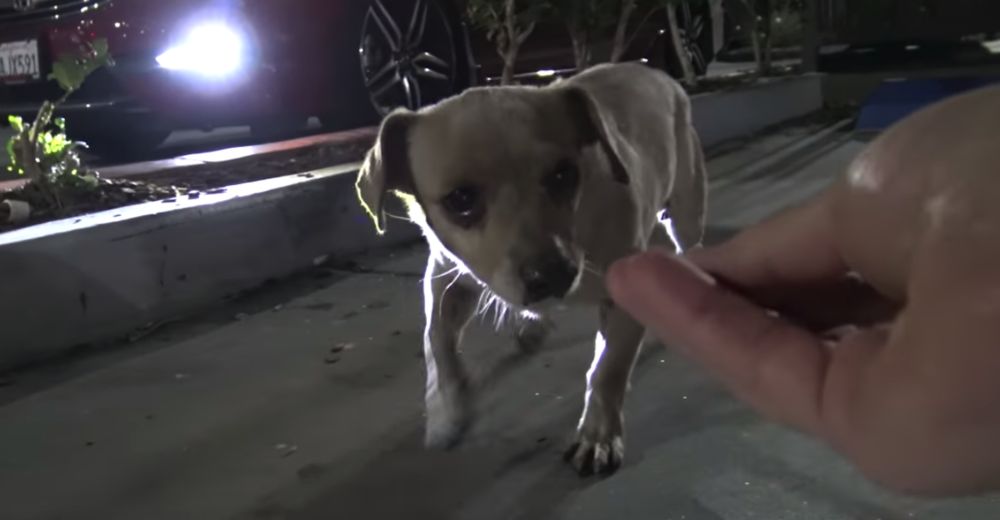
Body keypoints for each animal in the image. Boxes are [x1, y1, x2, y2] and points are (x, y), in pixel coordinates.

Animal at [356, 63, 708, 474]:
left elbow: (608, 369)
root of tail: (656, 72)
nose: (554, 274)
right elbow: (437, 345)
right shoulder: (446, 277)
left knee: (691, 246)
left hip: (685, 212)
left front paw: (598, 434)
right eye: (460, 199)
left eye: (563, 174)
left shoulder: (623, 293)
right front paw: (447, 411)